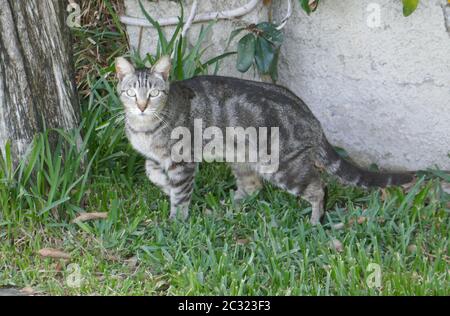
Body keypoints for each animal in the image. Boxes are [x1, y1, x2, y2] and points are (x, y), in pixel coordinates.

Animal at [116, 56, 414, 225]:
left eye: (153, 93)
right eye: (131, 92)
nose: (141, 106)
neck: (145, 127)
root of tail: (312, 117)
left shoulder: (183, 161)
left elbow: (179, 195)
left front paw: (176, 220)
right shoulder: (156, 159)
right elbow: (153, 173)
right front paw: (165, 187)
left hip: (282, 167)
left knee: (319, 188)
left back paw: (314, 222)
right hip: (241, 159)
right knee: (252, 187)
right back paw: (226, 208)